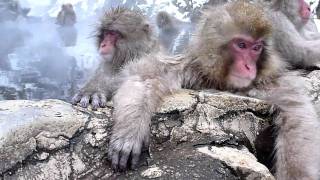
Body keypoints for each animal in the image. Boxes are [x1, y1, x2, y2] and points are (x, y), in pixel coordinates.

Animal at [108, 1, 320, 180]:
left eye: (257, 48)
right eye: (241, 45)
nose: (249, 67)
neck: (224, 83)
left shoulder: (270, 84)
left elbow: (297, 116)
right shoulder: (194, 67)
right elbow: (145, 76)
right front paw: (129, 132)